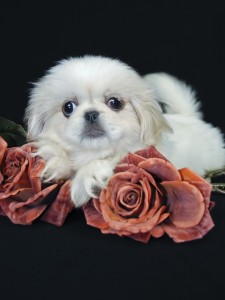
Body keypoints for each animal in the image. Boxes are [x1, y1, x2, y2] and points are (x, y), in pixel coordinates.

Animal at [24, 55, 225, 206]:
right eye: (68, 107)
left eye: (115, 102)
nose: (91, 114)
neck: (91, 152)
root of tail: (189, 117)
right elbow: (52, 149)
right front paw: (56, 162)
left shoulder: (142, 156)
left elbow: (109, 161)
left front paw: (83, 182)